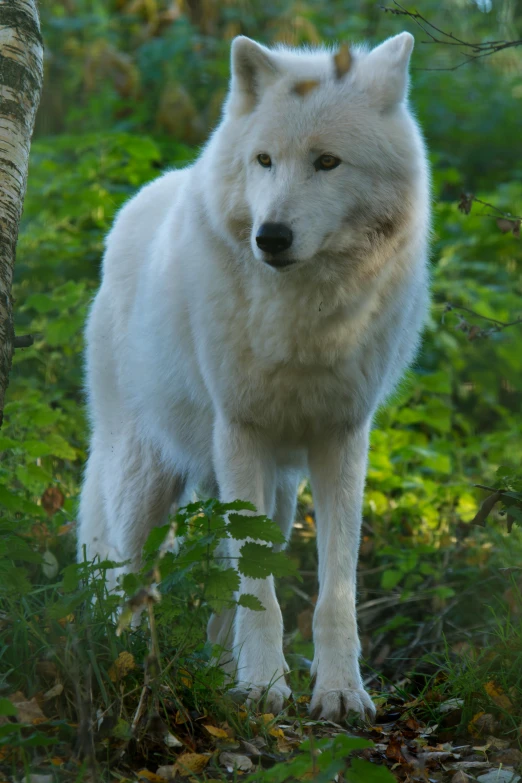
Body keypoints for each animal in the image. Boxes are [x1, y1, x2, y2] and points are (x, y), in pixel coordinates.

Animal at [77, 32, 426, 724]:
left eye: (327, 162)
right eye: (264, 161)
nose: (272, 236)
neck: (304, 319)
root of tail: (138, 201)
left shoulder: (342, 439)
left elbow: (332, 589)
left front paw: (339, 692)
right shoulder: (241, 433)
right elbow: (259, 587)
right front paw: (265, 687)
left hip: (278, 497)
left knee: (220, 578)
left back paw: (215, 672)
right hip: (144, 479)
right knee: (123, 577)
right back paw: (125, 670)